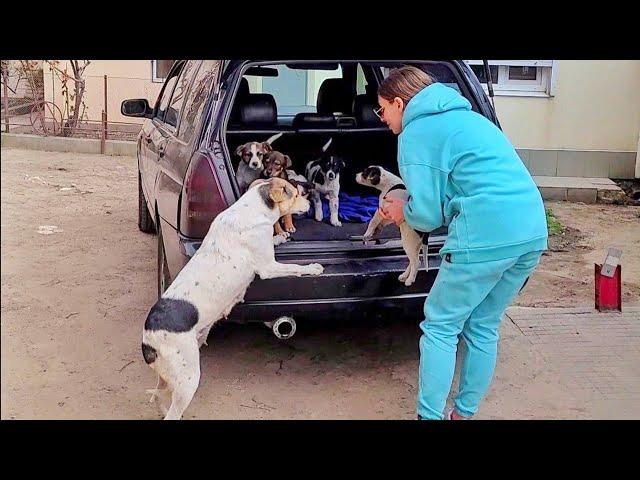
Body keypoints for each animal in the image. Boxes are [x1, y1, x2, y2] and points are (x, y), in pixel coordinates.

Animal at [139, 177, 320, 420]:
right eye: (296, 194)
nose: (309, 204)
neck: (252, 209)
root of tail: (148, 339)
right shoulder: (269, 268)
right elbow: (296, 268)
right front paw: (313, 267)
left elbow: (275, 240)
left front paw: (281, 236)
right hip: (188, 379)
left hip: (168, 377)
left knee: (157, 397)